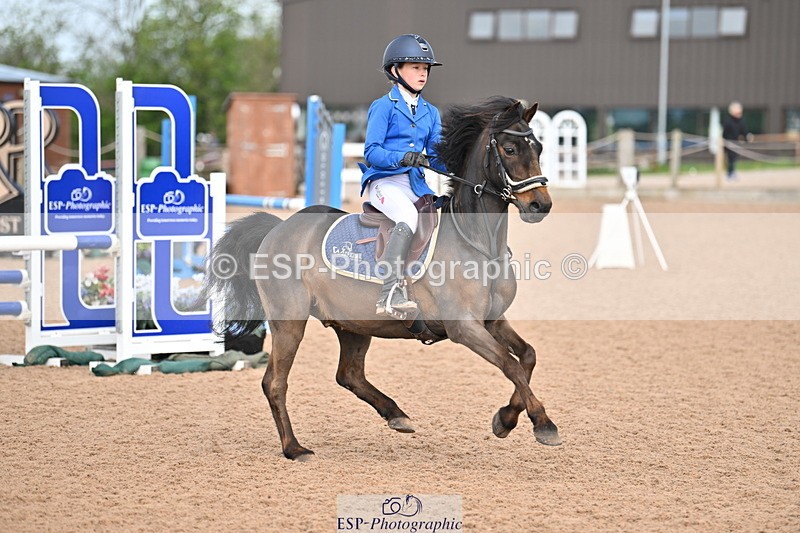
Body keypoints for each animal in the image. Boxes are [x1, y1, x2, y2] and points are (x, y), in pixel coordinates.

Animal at [202, 96, 560, 460]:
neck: (479, 242)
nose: (539, 205)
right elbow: (510, 365)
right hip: (290, 322)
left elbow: (527, 356)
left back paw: (396, 415)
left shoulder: (492, 320)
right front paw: (543, 424)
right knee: (275, 382)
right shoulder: (464, 327)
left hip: (354, 324)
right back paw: (294, 447)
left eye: (539, 147)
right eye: (509, 149)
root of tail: (278, 228)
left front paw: (506, 419)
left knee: (349, 374)